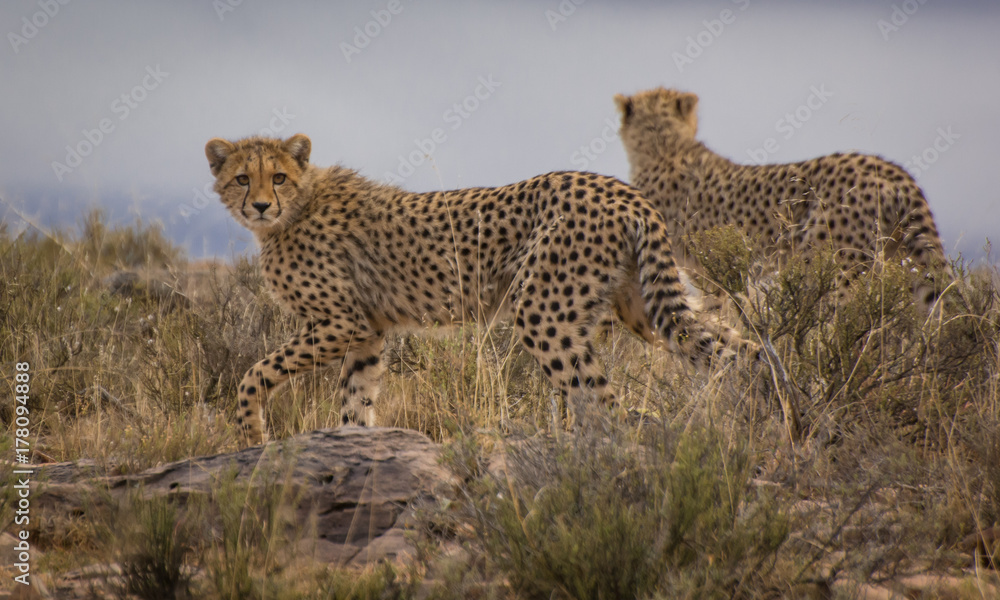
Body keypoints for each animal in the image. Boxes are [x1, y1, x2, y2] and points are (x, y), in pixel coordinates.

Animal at [205, 133, 751, 445]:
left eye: (277, 176)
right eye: (241, 178)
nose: (259, 205)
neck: (293, 211)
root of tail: (621, 188)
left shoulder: (340, 323)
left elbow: (254, 373)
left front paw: (250, 434)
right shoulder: (367, 332)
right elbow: (355, 400)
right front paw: (355, 448)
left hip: (542, 312)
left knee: (601, 404)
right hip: (640, 307)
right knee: (732, 346)